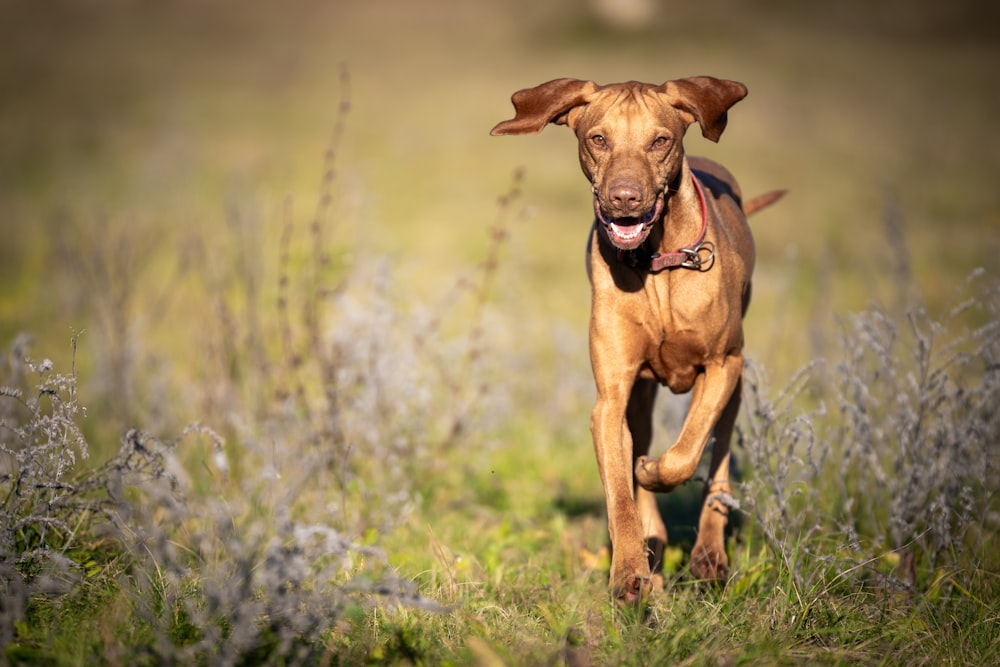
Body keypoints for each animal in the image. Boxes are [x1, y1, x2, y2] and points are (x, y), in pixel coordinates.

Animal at [490, 78, 780, 604]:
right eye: (598, 139)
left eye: (659, 140)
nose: (625, 198)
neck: (658, 264)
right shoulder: (610, 400)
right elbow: (621, 495)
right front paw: (629, 570)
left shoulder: (723, 365)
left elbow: (684, 454)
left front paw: (653, 470)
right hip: (641, 398)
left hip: (735, 383)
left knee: (718, 457)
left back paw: (709, 555)